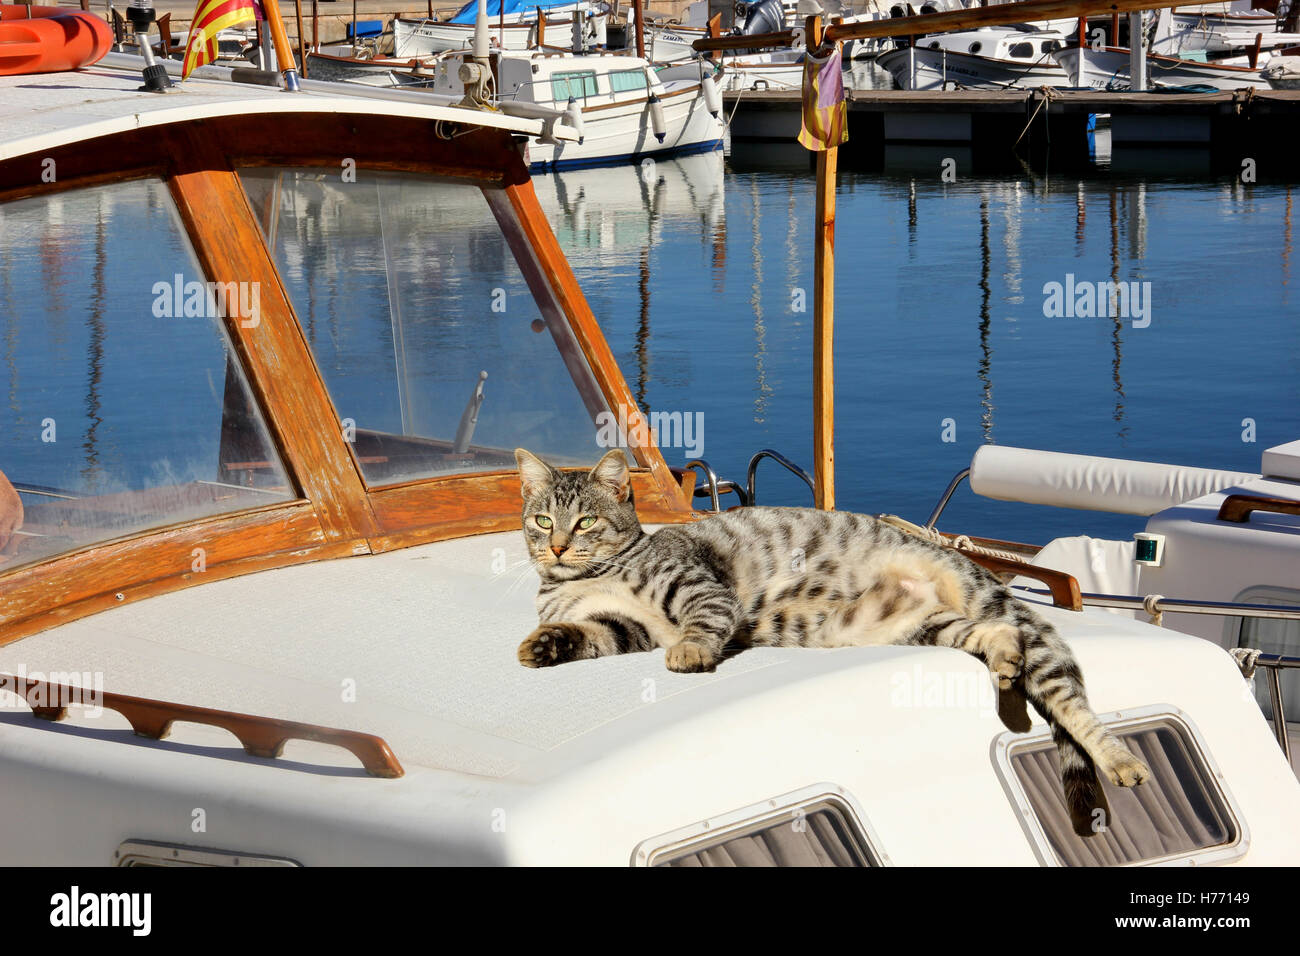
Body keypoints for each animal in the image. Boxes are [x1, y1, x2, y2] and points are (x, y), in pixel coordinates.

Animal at [514, 447, 1149, 832]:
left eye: (586, 522)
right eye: (543, 521)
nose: (558, 547)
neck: (579, 578)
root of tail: (951, 557)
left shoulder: (698, 589)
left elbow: (702, 623)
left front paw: (691, 652)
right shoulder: (628, 627)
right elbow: (586, 633)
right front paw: (540, 645)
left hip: (977, 608)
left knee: (1070, 701)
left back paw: (1122, 761)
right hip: (928, 625)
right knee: (1000, 636)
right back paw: (1005, 664)